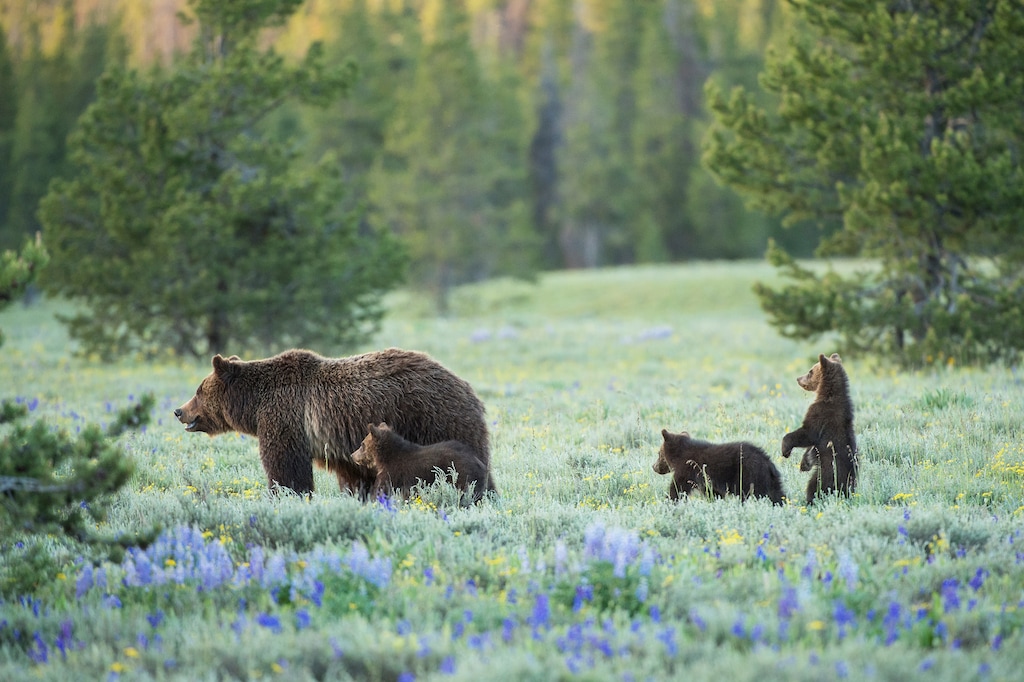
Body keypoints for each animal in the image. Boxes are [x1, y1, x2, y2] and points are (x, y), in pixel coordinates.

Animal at [351, 422, 488, 505]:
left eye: (362, 444)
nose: (352, 455)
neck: (384, 458)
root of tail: (479, 462)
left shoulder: (393, 473)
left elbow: (381, 490)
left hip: (462, 474)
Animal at [653, 429, 785, 505]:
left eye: (658, 454)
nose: (653, 466)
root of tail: (768, 463)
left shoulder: (688, 469)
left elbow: (678, 488)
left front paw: (669, 501)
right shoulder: (706, 480)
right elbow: (713, 493)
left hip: (749, 474)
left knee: (749, 494)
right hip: (771, 480)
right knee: (778, 494)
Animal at [781, 352, 858, 504]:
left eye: (810, 371)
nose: (798, 378)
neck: (827, 395)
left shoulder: (821, 414)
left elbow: (807, 433)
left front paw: (785, 450)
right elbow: (810, 447)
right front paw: (804, 463)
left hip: (827, 472)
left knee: (815, 487)